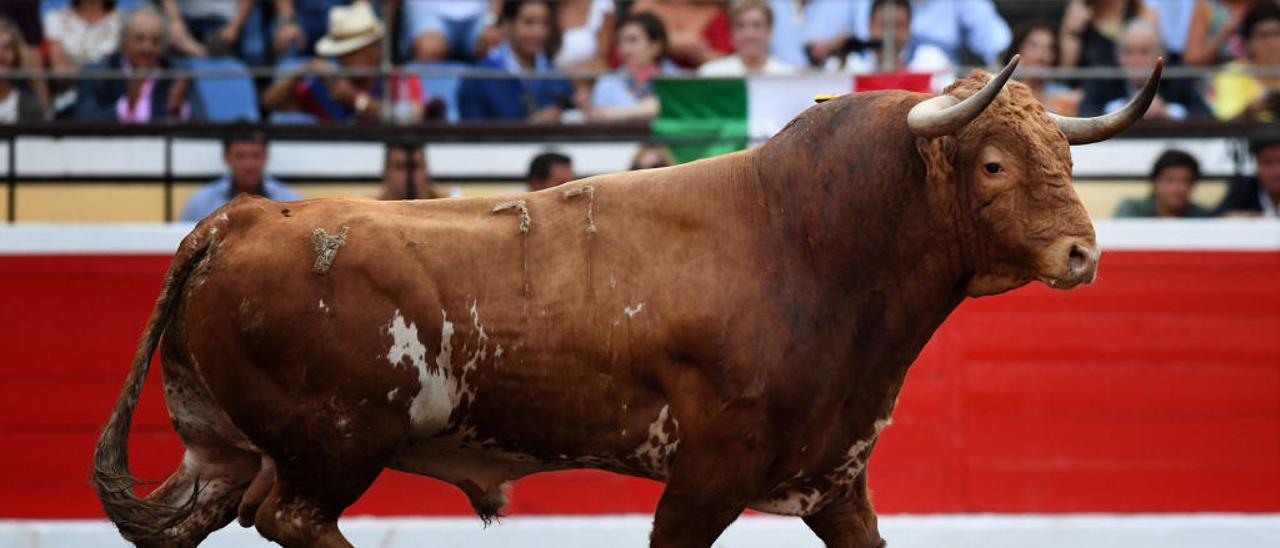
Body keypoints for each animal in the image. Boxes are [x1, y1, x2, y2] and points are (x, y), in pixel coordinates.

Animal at [94, 57, 1167, 545]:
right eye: (993, 164)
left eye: (1067, 156)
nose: (1083, 251)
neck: (810, 241)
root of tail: (236, 221)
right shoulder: (704, 481)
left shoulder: (837, 479)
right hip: (333, 447)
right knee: (292, 519)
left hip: (225, 454)